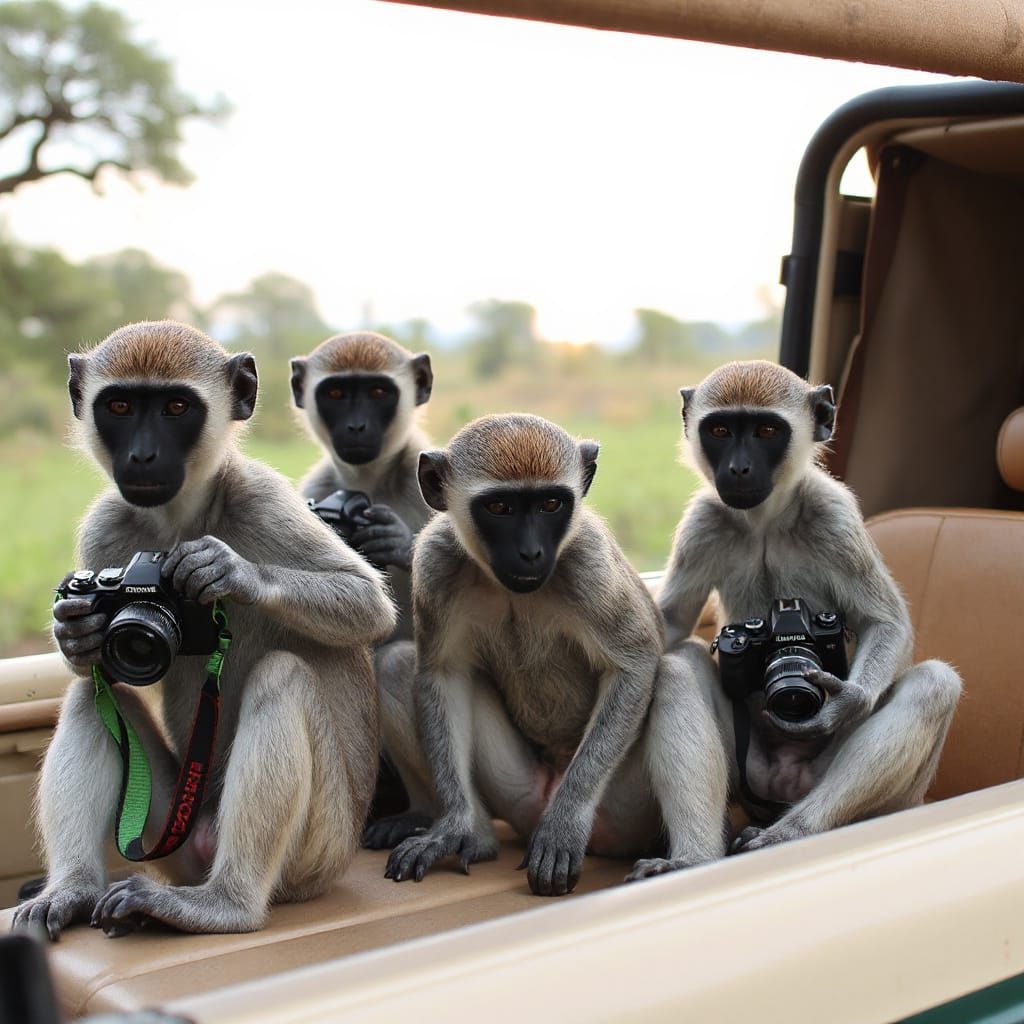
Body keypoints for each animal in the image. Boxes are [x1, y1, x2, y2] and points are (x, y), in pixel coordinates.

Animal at [11, 321, 395, 941]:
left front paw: (227, 572)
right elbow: (93, 666)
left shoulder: (264, 498)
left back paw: (226, 904)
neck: (176, 522)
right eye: (120, 406)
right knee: (91, 695)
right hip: (169, 833)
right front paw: (74, 633)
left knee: (283, 676)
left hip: (318, 850)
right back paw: (71, 890)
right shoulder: (103, 527)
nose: (142, 455)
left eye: (175, 407)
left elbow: (368, 604)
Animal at [381, 413, 730, 896]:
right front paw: (453, 825)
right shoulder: (436, 563)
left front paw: (564, 825)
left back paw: (692, 859)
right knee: (398, 663)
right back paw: (478, 836)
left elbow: (634, 665)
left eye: (550, 504)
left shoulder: (589, 564)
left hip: (622, 810)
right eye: (500, 508)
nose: (531, 552)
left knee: (674, 676)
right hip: (521, 797)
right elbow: (443, 674)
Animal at [657, 360, 962, 852]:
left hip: (889, 799)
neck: (764, 520)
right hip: (751, 775)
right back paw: (691, 857)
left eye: (766, 430)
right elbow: (674, 622)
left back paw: (793, 831)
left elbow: (886, 622)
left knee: (934, 684)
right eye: (720, 430)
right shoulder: (702, 524)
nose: (739, 468)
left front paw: (843, 704)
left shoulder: (834, 516)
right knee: (678, 665)